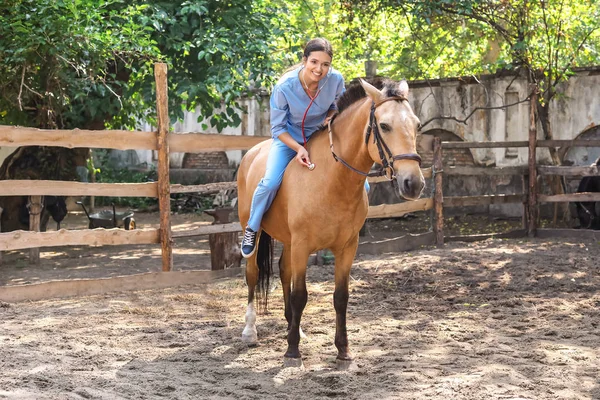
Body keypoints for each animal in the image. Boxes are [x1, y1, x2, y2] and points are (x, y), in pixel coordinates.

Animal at [237, 77, 424, 368]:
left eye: (417, 125)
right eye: (384, 125)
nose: (413, 183)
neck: (331, 178)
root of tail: (251, 153)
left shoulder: (347, 247)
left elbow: (340, 297)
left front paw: (343, 350)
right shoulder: (303, 245)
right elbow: (300, 295)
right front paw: (292, 352)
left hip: (289, 241)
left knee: (283, 271)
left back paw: (294, 327)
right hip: (254, 232)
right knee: (253, 273)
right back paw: (250, 330)